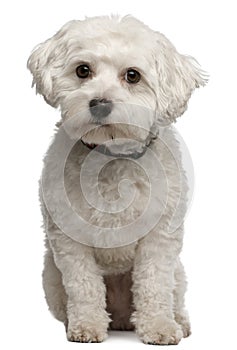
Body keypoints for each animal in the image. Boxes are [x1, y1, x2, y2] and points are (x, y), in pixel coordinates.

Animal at [27, 15, 206, 344]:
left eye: (132, 76)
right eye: (83, 70)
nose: (99, 103)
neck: (112, 156)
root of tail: (122, 317)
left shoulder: (159, 238)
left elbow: (154, 284)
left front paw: (160, 327)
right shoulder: (69, 240)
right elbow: (84, 285)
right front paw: (86, 325)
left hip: (179, 273)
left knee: (173, 296)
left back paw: (178, 321)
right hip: (50, 277)